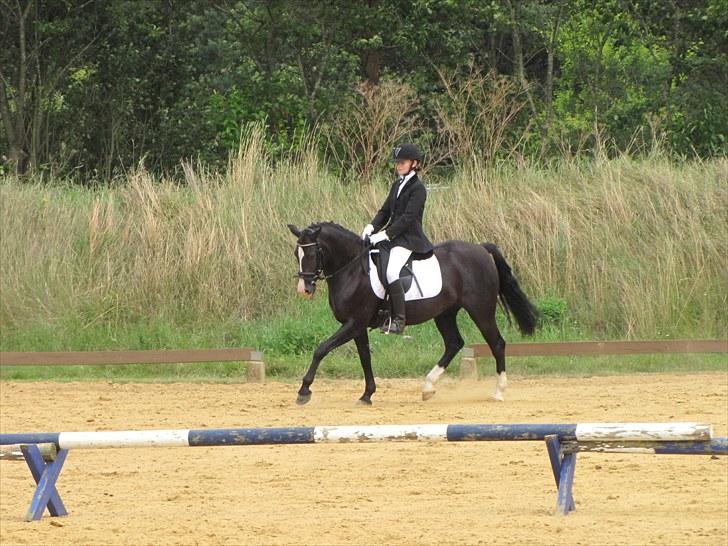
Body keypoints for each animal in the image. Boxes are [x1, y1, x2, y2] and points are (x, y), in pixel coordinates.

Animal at [287, 222, 539, 405]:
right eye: (296, 254)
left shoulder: (354, 322)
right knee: (454, 343)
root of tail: (481, 249)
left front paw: (304, 391)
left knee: (497, 343)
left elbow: (321, 349)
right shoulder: (357, 326)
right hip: (445, 313)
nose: (304, 290)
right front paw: (367, 394)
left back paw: (498, 392)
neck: (353, 270)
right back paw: (428, 387)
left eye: (313, 253)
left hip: (481, 310)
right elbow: (365, 357)